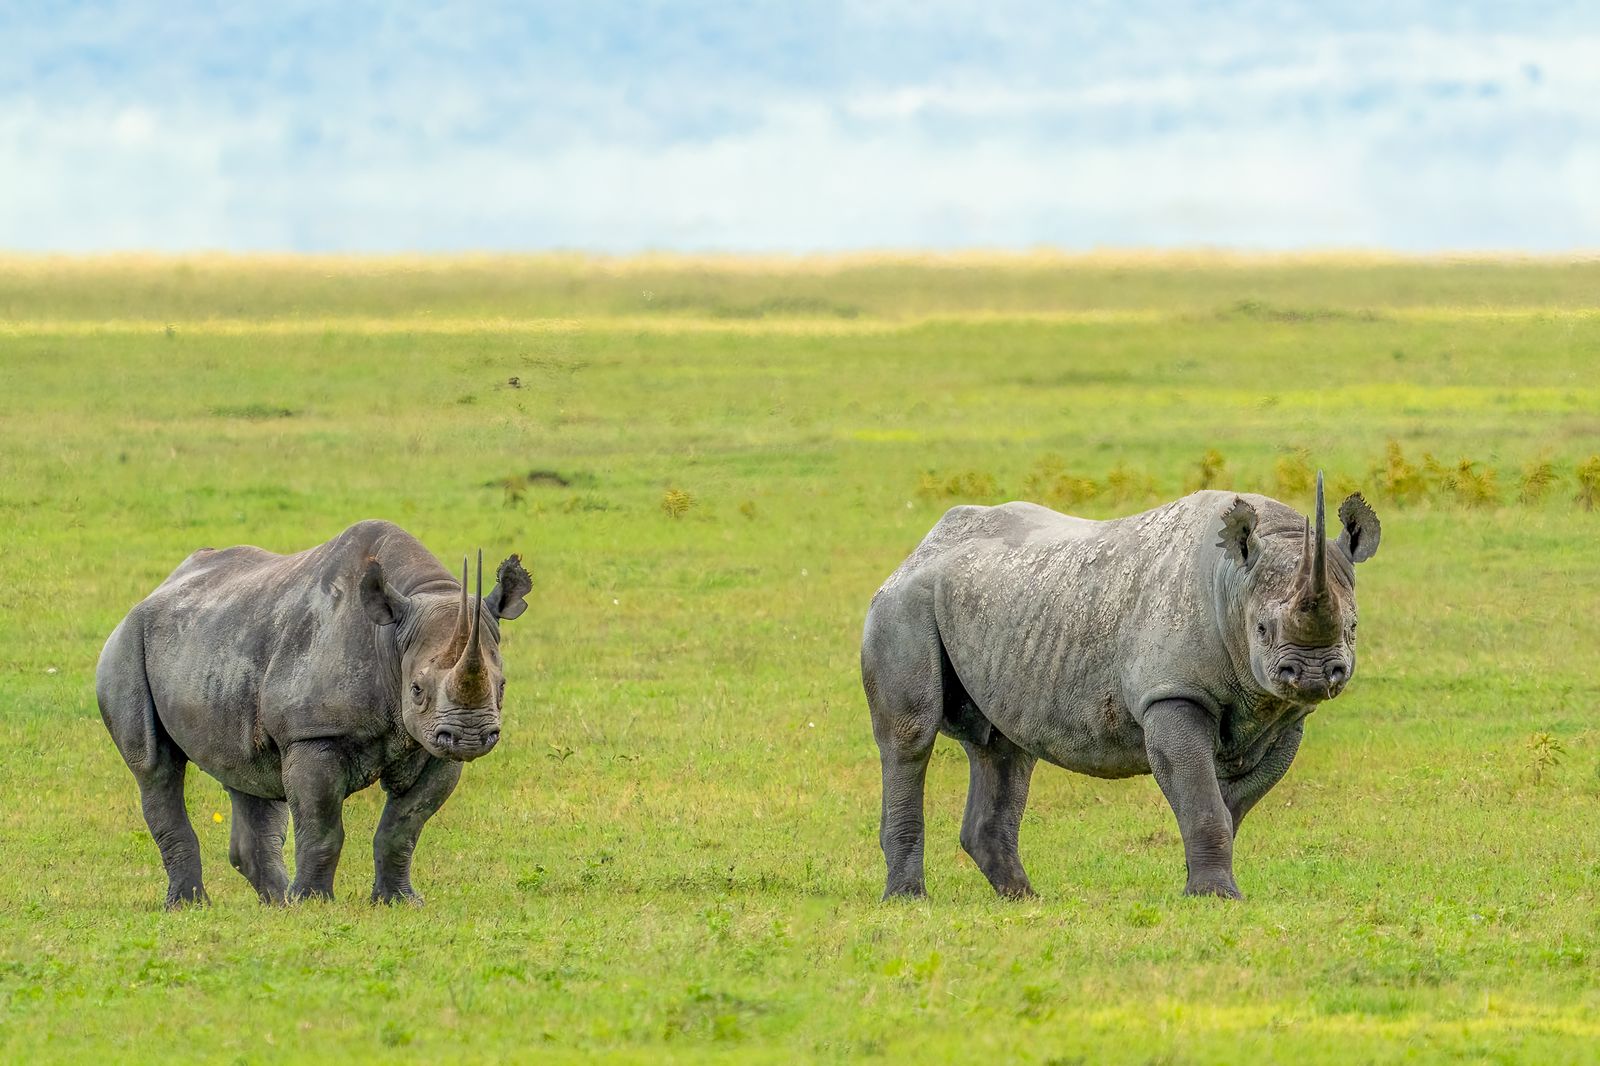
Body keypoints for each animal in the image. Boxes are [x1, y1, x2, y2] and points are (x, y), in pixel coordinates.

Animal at [96, 520, 532, 908]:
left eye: (502, 686)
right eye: (417, 690)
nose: (470, 737)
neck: (391, 638)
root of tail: (157, 590)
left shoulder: (433, 748)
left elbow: (404, 827)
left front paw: (400, 903)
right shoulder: (313, 733)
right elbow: (323, 827)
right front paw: (313, 903)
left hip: (223, 640)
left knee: (249, 773)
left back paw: (276, 904)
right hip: (126, 644)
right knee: (155, 768)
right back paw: (191, 905)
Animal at [862, 474, 1380, 900]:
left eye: (1353, 627)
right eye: (1262, 630)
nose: (1313, 675)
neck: (1234, 582)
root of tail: (922, 547)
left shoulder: (1284, 714)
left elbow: (1227, 806)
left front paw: (1203, 888)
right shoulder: (1172, 692)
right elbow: (1202, 799)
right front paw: (1216, 897)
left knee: (1004, 746)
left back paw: (1024, 899)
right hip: (904, 602)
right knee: (911, 736)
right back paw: (909, 900)